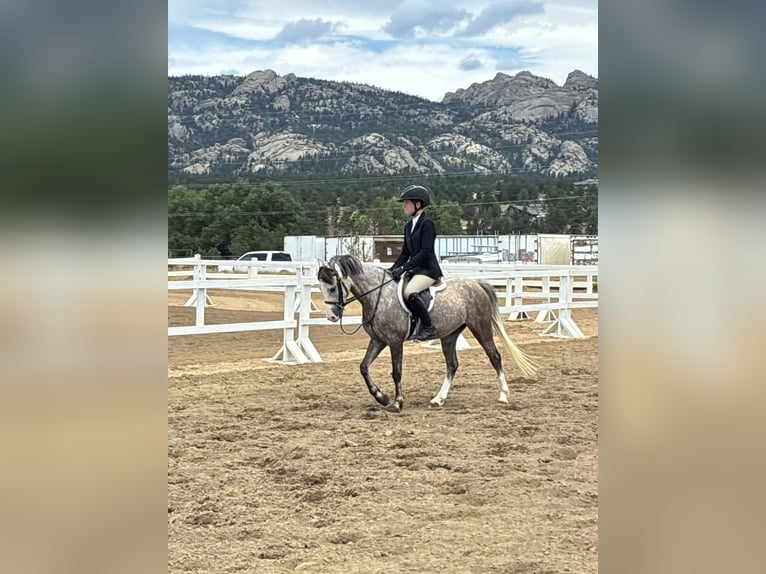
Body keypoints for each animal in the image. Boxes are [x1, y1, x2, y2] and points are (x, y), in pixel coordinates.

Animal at [316, 255, 538, 412]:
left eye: (333, 287)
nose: (332, 317)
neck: (377, 295)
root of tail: (476, 284)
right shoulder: (378, 340)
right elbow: (363, 367)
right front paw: (381, 397)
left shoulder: (395, 341)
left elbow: (396, 372)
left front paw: (397, 403)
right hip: (450, 334)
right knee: (452, 364)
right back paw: (438, 399)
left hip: (480, 327)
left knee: (494, 356)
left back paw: (503, 395)